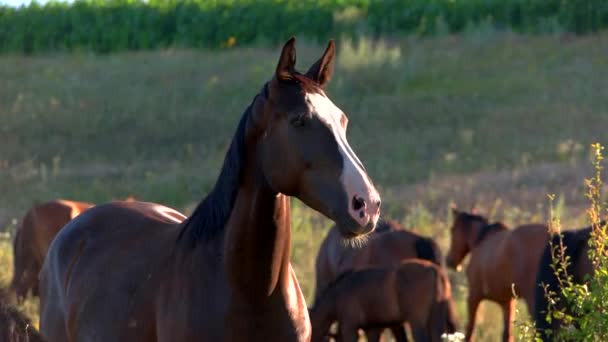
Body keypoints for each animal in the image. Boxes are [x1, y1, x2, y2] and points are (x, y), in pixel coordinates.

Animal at [312, 260, 458, 342]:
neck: (338, 294)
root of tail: (436, 270)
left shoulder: (350, 328)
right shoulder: (373, 329)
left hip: (417, 322)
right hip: (436, 320)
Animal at [446, 208, 552, 342]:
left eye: (452, 229)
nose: (449, 261)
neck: (481, 241)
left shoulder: (473, 296)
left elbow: (470, 329)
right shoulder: (507, 302)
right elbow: (507, 334)